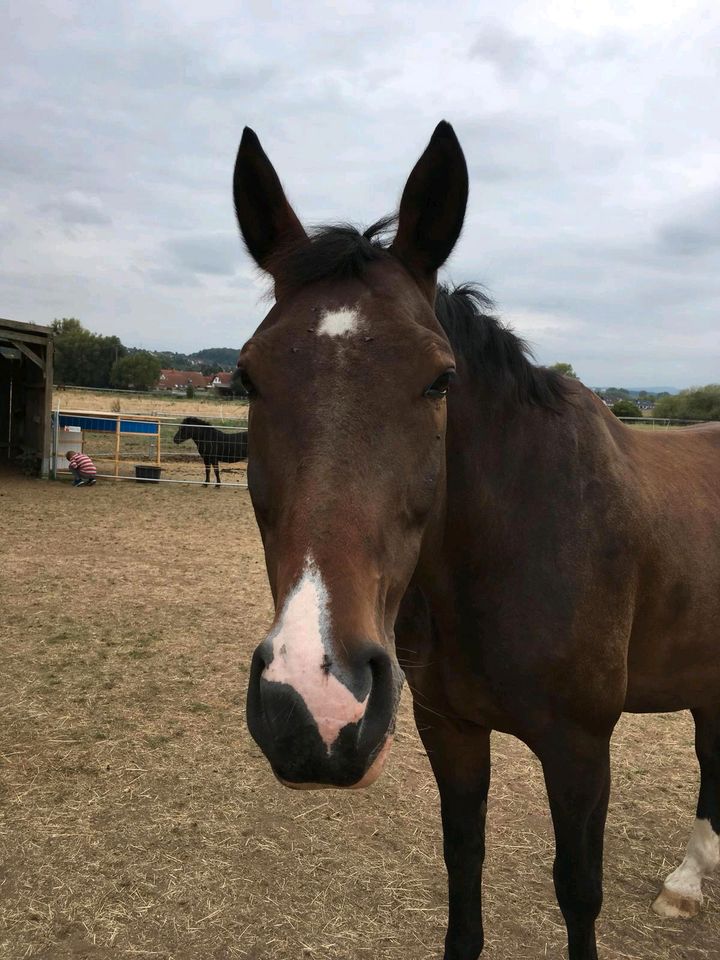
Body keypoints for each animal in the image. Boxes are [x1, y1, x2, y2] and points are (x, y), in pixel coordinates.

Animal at [233, 124, 716, 956]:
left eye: (439, 380)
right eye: (248, 377)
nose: (314, 705)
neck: (519, 539)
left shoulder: (581, 748)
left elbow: (577, 891)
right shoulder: (449, 730)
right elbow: (464, 864)